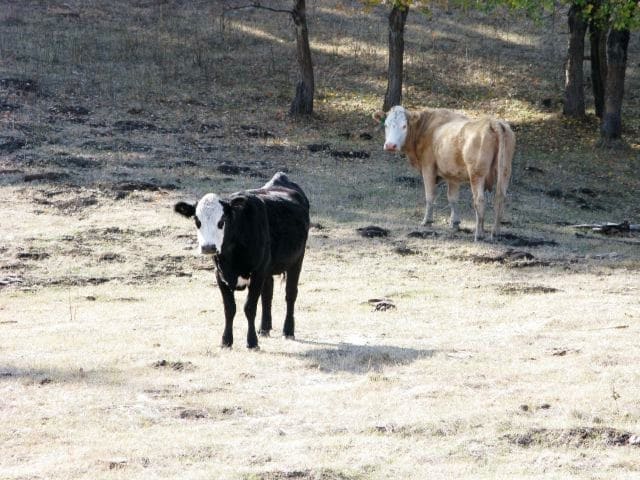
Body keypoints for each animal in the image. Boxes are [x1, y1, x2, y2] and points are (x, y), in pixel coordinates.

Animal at [174, 172, 310, 349]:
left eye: (221, 221)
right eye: (197, 221)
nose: (208, 247)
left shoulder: (257, 272)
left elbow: (249, 308)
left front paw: (252, 342)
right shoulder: (220, 274)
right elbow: (229, 309)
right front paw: (226, 341)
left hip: (297, 259)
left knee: (290, 294)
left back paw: (288, 331)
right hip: (268, 268)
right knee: (268, 294)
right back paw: (264, 328)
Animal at [373, 106, 516, 241]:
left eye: (404, 126)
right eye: (386, 125)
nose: (390, 145)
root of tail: (492, 122)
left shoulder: (428, 167)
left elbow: (430, 195)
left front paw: (427, 221)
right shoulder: (453, 175)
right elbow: (452, 198)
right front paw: (454, 222)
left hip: (477, 174)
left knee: (479, 200)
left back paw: (479, 234)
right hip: (505, 171)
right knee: (500, 198)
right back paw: (495, 233)